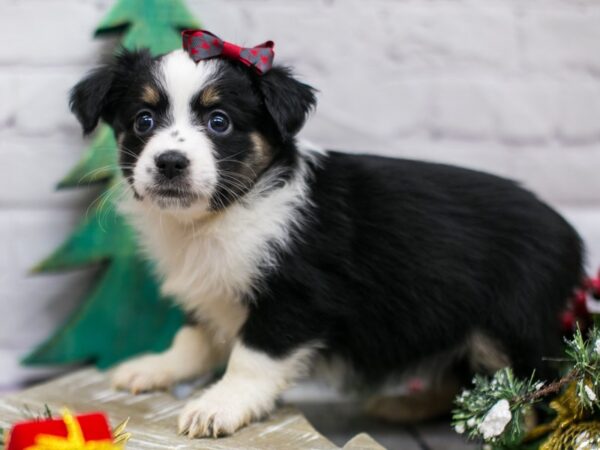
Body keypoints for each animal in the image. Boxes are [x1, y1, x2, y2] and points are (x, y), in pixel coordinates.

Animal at [68, 45, 584, 436]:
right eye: (143, 121)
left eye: (219, 121)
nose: (170, 163)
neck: (224, 214)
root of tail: (570, 233)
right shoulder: (213, 289)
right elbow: (195, 335)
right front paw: (157, 367)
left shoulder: (298, 298)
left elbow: (251, 357)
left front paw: (220, 405)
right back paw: (405, 406)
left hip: (509, 324)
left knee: (538, 389)